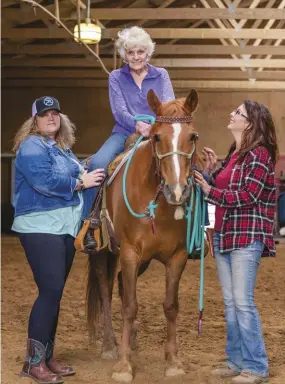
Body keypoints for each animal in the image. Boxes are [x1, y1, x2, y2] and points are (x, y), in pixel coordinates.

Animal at [86, 89, 206, 380]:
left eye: (193, 136)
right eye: (156, 136)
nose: (177, 190)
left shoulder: (177, 256)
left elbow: (170, 306)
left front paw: (173, 362)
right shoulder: (130, 252)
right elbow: (130, 306)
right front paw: (123, 365)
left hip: (144, 261)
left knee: (119, 283)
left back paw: (133, 342)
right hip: (103, 252)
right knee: (106, 290)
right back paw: (110, 345)